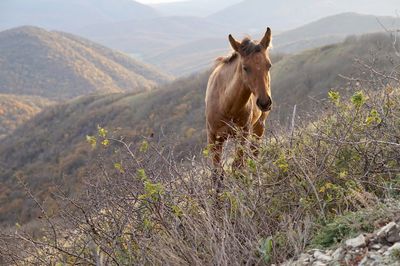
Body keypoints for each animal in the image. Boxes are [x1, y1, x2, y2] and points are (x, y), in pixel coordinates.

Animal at [205, 27, 274, 185]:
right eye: (245, 67)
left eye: (268, 65)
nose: (264, 102)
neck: (226, 105)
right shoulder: (213, 138)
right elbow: (217, 174)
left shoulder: (244, 133)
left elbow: (239, 167)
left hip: (258, 127)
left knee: (254, 155)